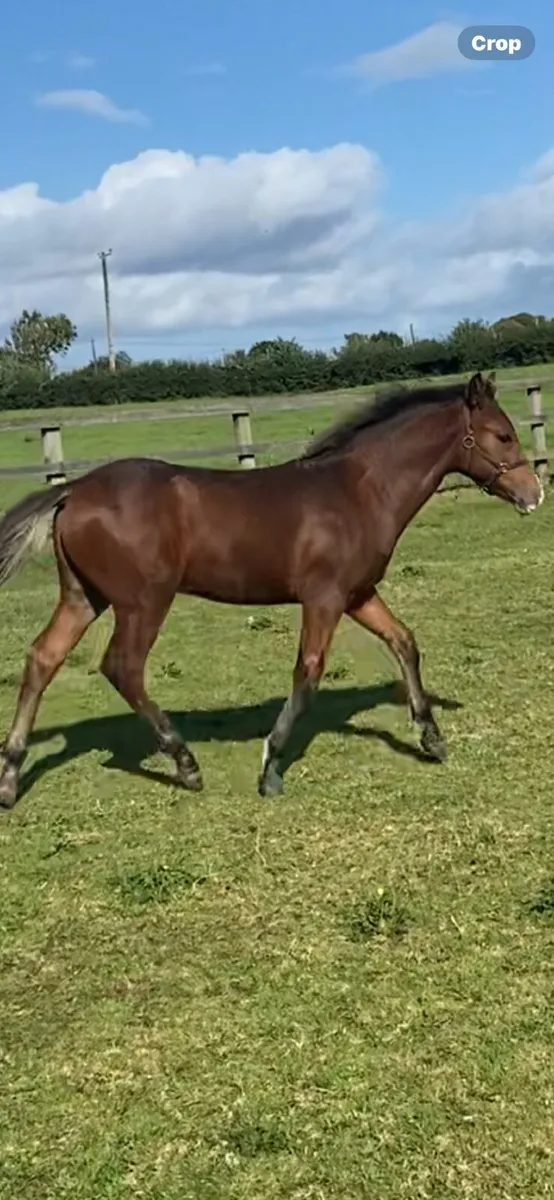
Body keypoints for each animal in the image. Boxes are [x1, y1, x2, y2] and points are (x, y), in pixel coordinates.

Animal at [0, 370, 543, 809]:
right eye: (502, 435)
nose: (534, 493)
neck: (359, 491)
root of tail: (73, 490)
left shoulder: (358, 594)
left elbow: (404, 642)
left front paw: (432, 739)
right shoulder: (324, 598)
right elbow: (308, 673)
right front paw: (271, 767)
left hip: (82, 597)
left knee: (43, 658)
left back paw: (10, 776)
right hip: (144, 601)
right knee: (122, 667)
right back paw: (186, 764)